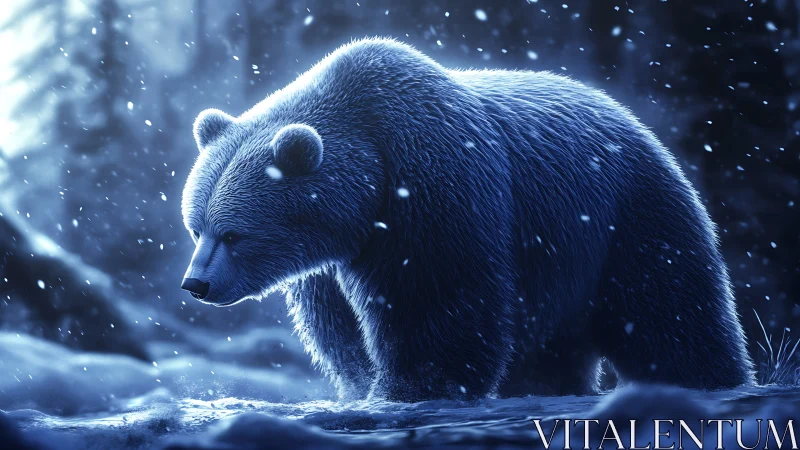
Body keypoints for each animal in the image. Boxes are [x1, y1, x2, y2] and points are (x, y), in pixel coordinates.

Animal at [180, 38, 754, 401]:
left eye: (234, 233)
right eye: (196, 226)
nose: (196, 283)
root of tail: (634, 120)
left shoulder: (431, 188)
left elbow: (434, 296)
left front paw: (411, 388)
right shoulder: (330, 264)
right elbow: (341, 331)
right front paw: (366, 386)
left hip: (624, 214)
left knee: (668, 307)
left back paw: (707, 380)